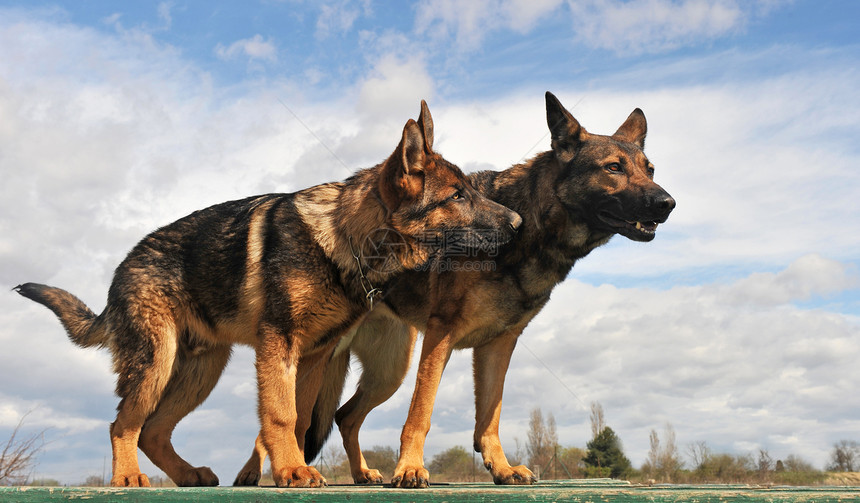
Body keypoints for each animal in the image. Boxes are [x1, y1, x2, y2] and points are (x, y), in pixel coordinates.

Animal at [13, 102, 520, 488]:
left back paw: (189, 475)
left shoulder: (314, 357)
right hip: (157, 362)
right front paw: (293, 471)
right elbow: (279, 414)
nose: (518, 223)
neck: (345, 236)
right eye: (457, 196)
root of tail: (120, 271)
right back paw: (127, 478)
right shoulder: (280, 344)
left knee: (153, 431)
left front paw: (291, 469)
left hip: (201, 371)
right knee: (124, 423)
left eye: (471, 191)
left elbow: (298, 417)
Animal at [239, 91, 676, 488]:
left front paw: (500, 467)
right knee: (280, 421)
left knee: (343, 416)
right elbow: (420, 413)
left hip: (386, 372)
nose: (667, 203)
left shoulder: (499, 345)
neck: (529, 230)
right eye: (613, 168)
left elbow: (489, 417)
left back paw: (361, 473)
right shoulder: (441, 335)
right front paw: (410, 470)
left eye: (651, 170)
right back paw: (258, 474)